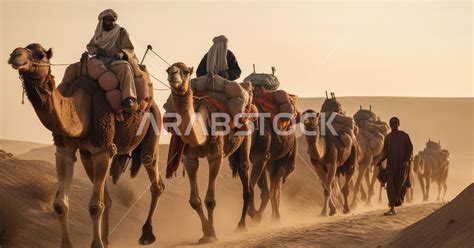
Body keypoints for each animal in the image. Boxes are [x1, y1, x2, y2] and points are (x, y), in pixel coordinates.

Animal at [7, 43, 165, 247]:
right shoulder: (65, 150)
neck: (82, 108)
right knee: (108, 198)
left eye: (40, 54)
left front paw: (96, 244)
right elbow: (60, 205)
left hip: (153, 128)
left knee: (154, 177)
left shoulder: (103, 149)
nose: (15, 55)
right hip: (87, 157)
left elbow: (95, 206)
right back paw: (107, 239)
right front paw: (70, 244)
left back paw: (146, 234)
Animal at [165, 62, 252, 242]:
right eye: (168, 69)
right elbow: (195, 201)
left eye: (186, 71)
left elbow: (210, 200)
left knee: (244, 171)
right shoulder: (189, 158)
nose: (173, 74)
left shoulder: (215, 156)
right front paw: (205, 233)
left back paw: (241, 225)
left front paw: (212, 235)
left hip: (247, 134)